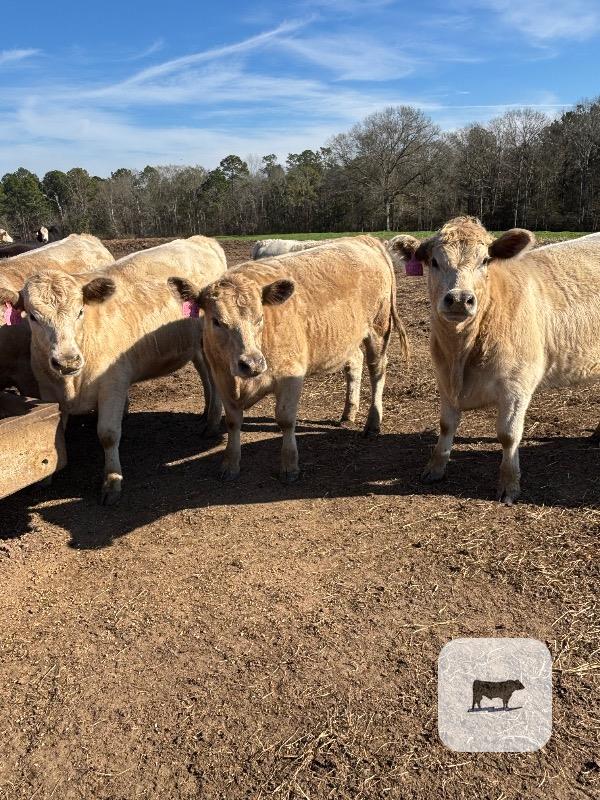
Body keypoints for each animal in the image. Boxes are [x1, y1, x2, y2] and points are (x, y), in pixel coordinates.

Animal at [0, 237, 226, 504]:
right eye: (33, 317)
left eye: (80, 311)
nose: (67, 361)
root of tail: (200, 239)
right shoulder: (47, 391)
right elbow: (52, 433)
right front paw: (44, 477)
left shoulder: (113, 385)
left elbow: (108, 435)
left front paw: (111, 482)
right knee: (205, 375)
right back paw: (206, 414)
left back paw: (212, 422)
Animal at [169, 235, 409, 483]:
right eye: (216, 321)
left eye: (260, 318)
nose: (252, 363)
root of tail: (363, 239)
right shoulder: (221, 378)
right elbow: (233, 422)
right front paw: (230, 465)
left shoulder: (291, 375)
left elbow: (285, 419)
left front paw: (289, 465)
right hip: (346, 337)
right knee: (355, 363)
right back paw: (348, 412)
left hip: (379, 329)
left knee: (377, 371)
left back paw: (373, 423)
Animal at [415, 216, 600, 504]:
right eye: (434, 261)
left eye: (485, 260)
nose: (459, 299)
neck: (461, 354)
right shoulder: (443, 379)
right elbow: (446, 425)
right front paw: (434, 468)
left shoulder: (517, 387)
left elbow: (508, 435)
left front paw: (509, 484)